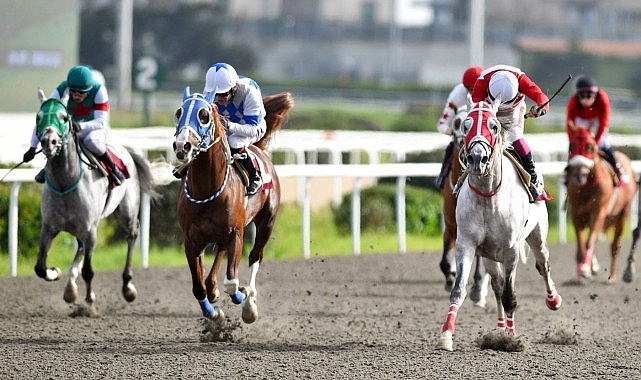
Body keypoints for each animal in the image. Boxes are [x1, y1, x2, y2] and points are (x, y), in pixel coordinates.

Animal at [33, 90, 158, 310]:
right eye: (39, 117)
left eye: (64, 117)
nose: (49, 141)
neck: (65, 183)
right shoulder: (49, 227)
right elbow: (40, 267)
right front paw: (55, 272)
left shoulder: (91, 231)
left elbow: (88, 271)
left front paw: (90, 301)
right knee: (80, 248)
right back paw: (70, 287)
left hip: (126, 212)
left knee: (133, 233)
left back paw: (128, 286)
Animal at [170, 87, 290, 322]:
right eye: (179, 113)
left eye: (204, 115)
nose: (182, 146)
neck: (207, 189)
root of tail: (258, 148)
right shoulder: (191, 240)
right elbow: (198, 287)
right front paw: (213, 313)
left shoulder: (236, 234)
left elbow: (232, 283)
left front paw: (242, 298)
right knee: (219, 257)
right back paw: (213, 290)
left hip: (267, 222)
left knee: (255, 257)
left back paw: (249, 303)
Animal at [436, 100, 560, 350]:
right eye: (465, 125)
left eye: (494, 126)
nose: (477, 158)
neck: (488, 197)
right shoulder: (466, 243)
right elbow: (459, 290)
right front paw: (446, 336)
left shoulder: (511, 250)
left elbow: (510, 296)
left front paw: (511, 339)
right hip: (490, 255)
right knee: (497, 284)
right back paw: (501, 327)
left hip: (537, 235)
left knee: (543, 264)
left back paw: (553, 300)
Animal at [564, 127, 636, 282]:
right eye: (571, 146)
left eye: (590, 147)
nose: (579, 176)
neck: (587, 186)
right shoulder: (576, 214)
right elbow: (581, 244)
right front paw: (583, 271)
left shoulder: (598, 212)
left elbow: (590, 241)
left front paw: (586, 268)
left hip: (623, 213)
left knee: (614, 246)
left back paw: (612, 276)